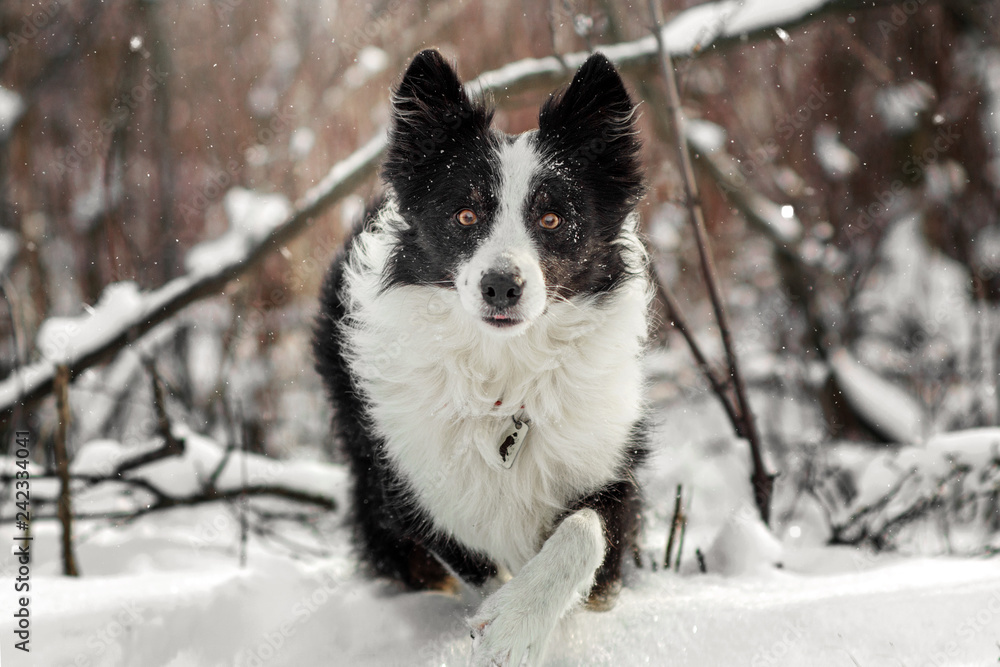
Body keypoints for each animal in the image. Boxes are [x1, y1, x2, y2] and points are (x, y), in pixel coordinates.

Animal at [316, 49, 652, 664]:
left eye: (552, 219)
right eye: (465, 216)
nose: (501, 286)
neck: (505, 370)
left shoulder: (611, 463)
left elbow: (584, 533)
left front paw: (519, 623)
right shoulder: (409, 486)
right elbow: (475, 561)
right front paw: (499, 622)